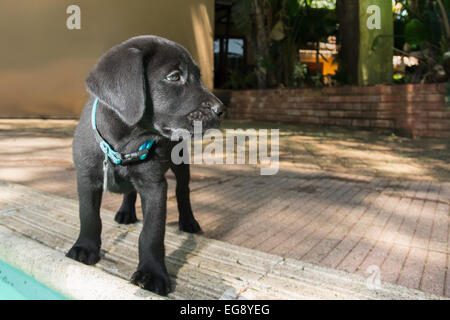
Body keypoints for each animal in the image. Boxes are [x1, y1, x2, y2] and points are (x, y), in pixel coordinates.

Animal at [67, 35, 225, 296]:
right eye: (174, 76)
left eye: (199, 76)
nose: (221, 110)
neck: (126, 142)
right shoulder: (87, 177)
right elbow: (88, 215)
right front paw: (85, 247)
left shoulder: (154, 186)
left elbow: (151, 233)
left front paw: (152, 273)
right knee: (130, 191)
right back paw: (126, 212)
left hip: (180, 160)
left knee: (182, 190)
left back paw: (188, 221)